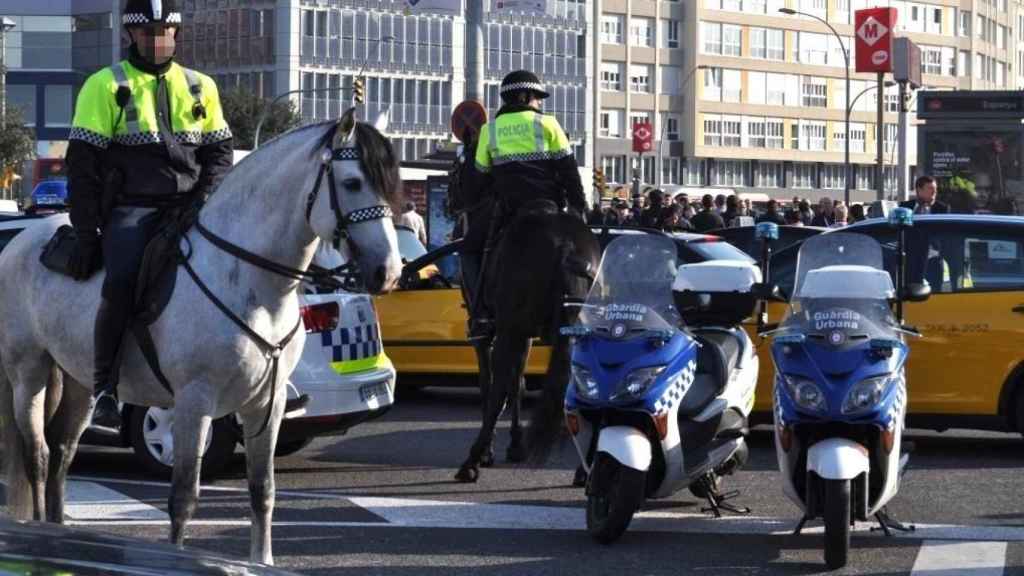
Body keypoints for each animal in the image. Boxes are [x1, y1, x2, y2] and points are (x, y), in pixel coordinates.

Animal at [0, 107, 403, 561]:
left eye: (391, 183)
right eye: (353, 182)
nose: (388, 272)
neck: (251, 283)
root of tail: (20, 241)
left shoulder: (267, 406)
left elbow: (263, 491)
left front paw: (262, 560)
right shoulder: (194, 403)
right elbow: (183, 497)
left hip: (80, 381)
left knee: (62, 453)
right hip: (29, 372)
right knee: (37, 455)